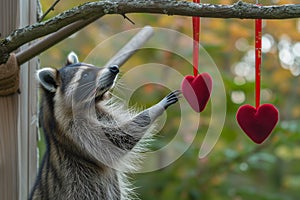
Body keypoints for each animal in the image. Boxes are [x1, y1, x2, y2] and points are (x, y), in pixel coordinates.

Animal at [29, 52, 180, 199]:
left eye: (93, 66)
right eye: (85, 75)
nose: (114, 68)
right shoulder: (76, 129)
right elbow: (118, 139)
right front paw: (156, 108)